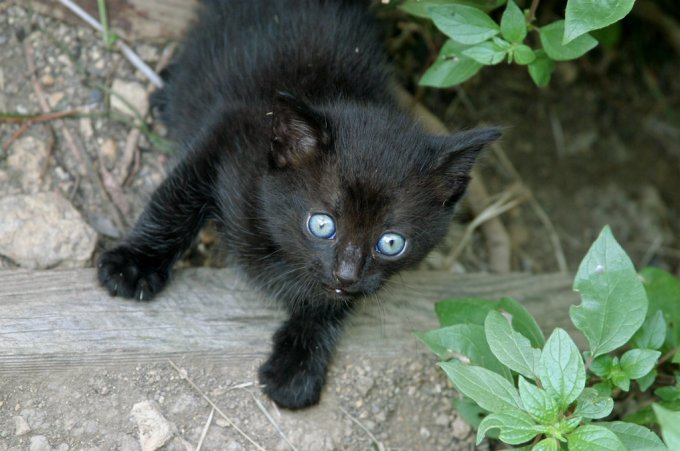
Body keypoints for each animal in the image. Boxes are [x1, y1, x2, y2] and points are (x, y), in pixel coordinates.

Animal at [97, 0, 500, 410]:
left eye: (391, 243)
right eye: (322, 225)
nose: (347, 273)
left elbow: (330, 304)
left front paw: (298, 365)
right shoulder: (226, 131)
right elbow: (175, 199)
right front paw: (134, 263)